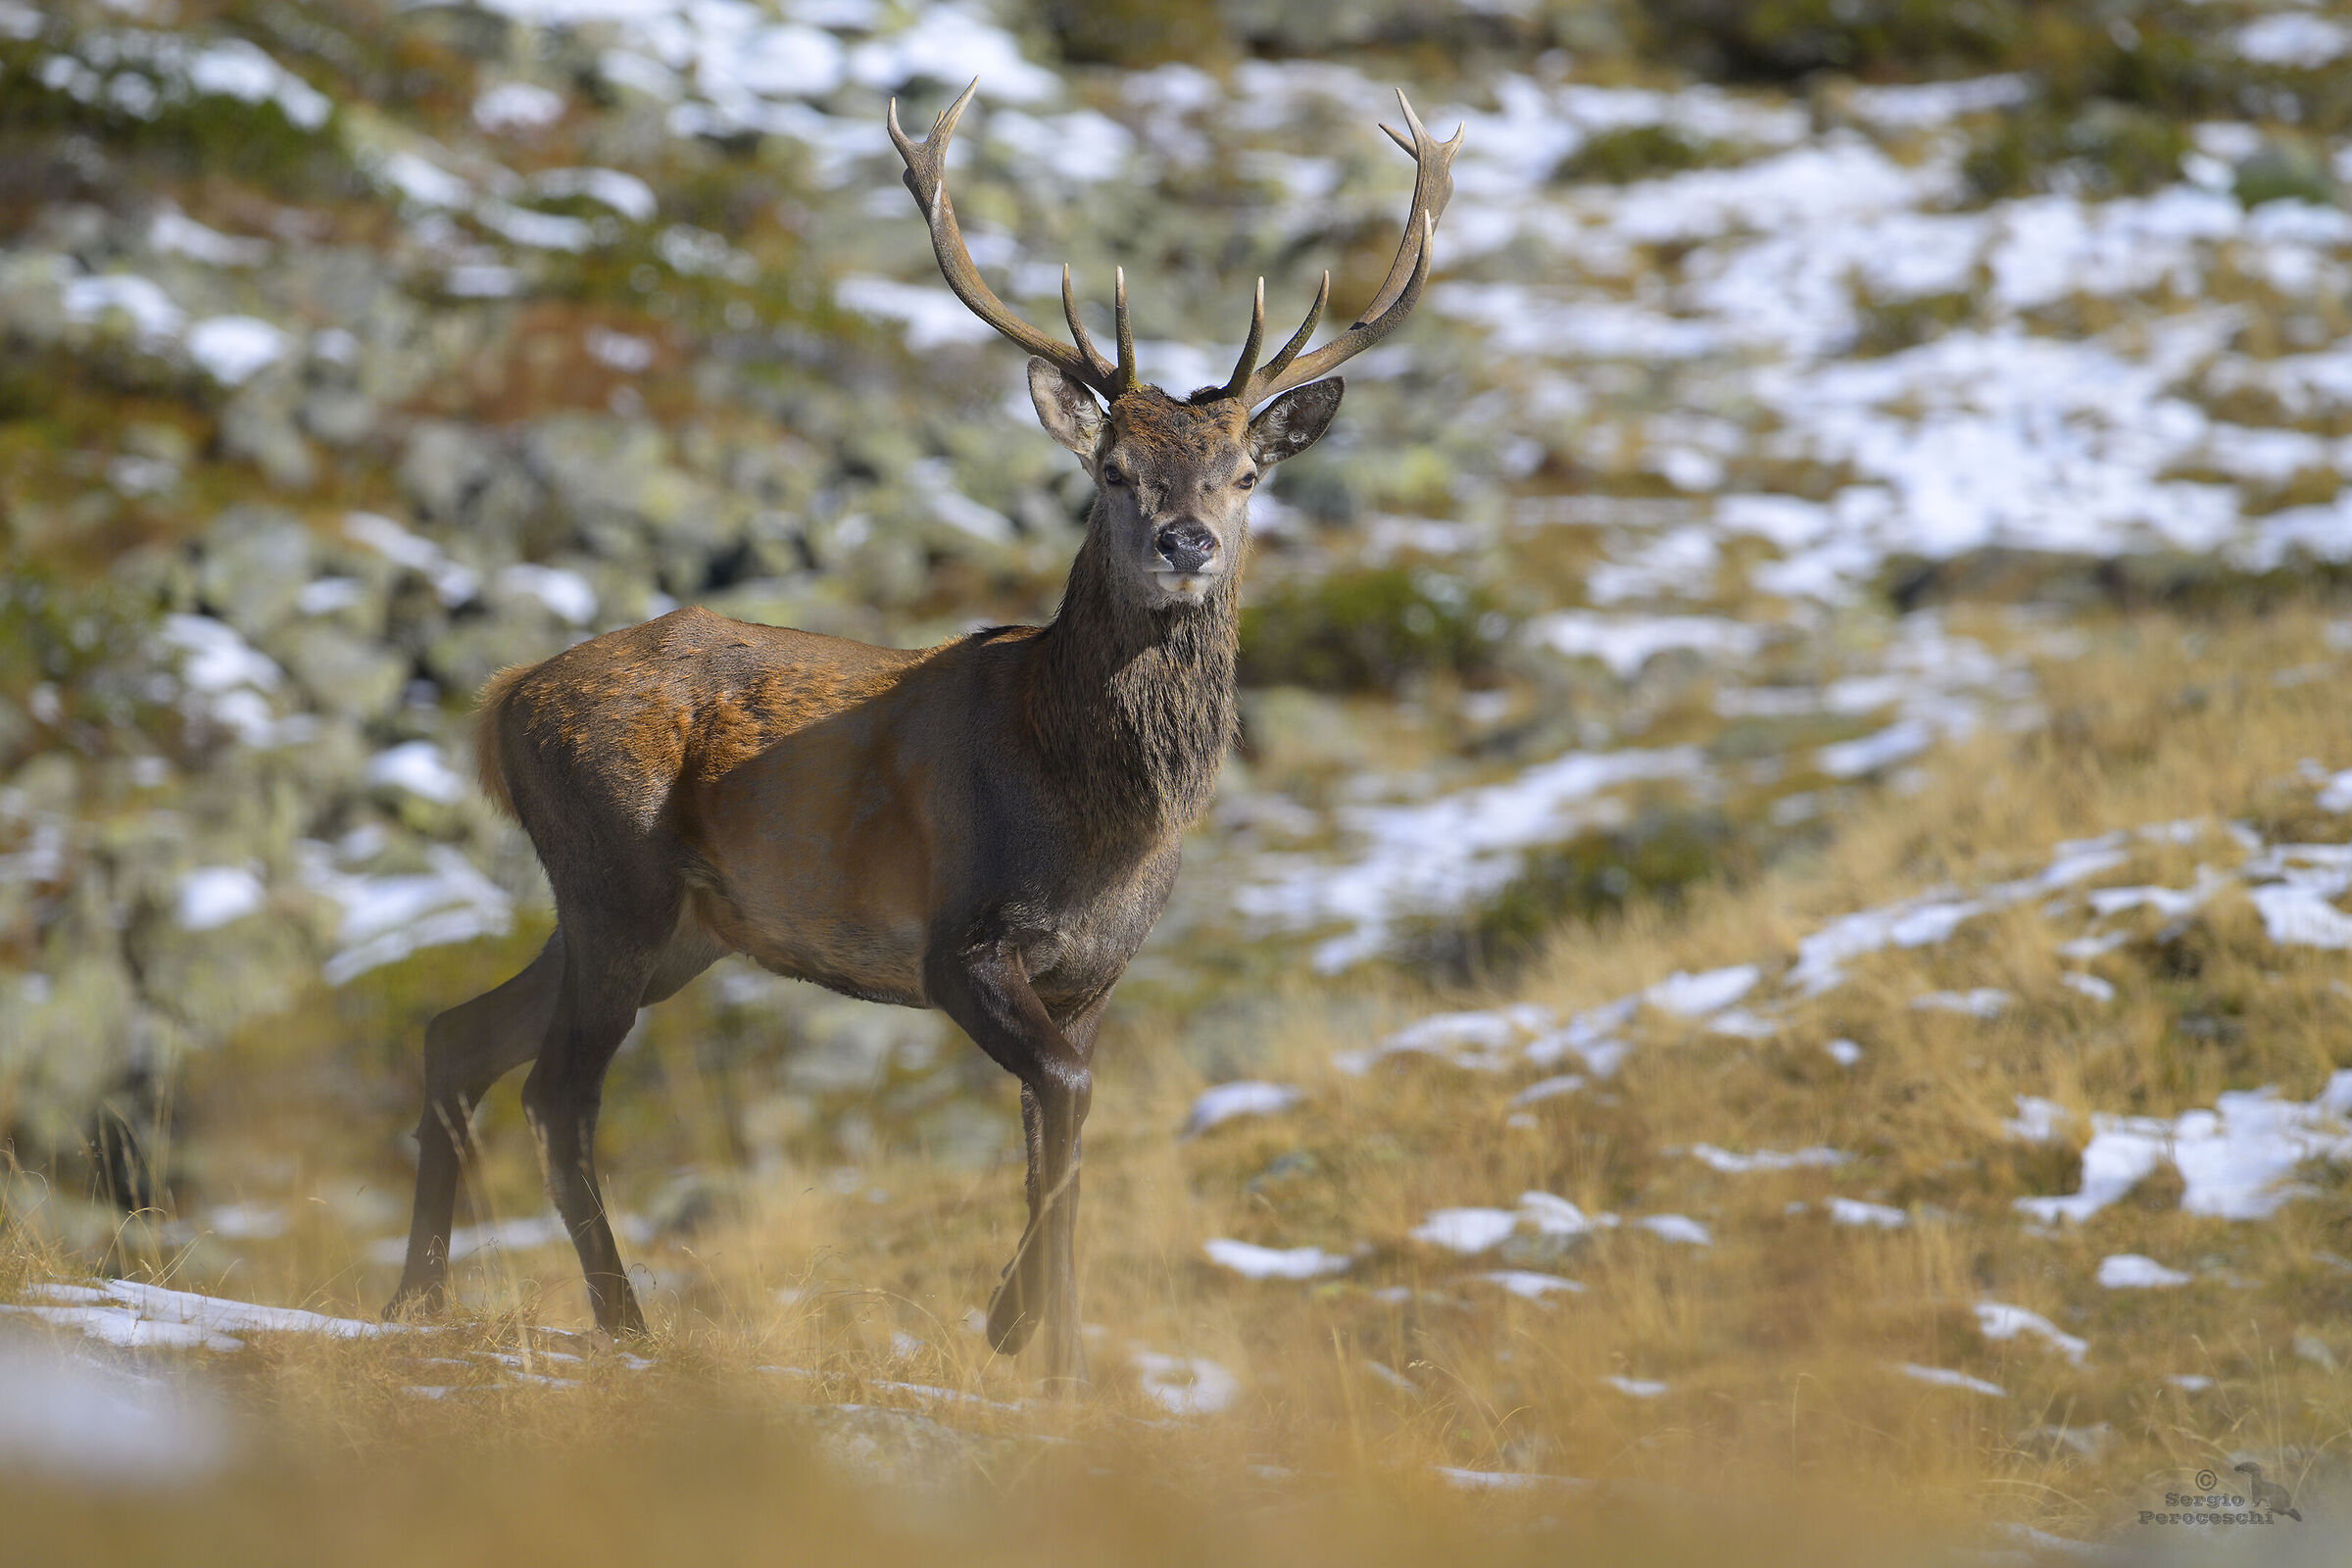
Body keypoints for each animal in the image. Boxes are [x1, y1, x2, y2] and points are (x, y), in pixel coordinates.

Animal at [385, 80, 1459, 1383]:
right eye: (1111, 468)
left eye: (1246, 472)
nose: (1186, 543)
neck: (1094, 810)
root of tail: (503, 701)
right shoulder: (959, 939)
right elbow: (1065, 1095)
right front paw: (1041, 1348)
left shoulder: (1095, 969)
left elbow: (1058, 1123)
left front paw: (1029, 1337)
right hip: (613, 870)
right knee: (557, 1092)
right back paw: (623, 1321)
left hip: (672, 921)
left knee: (456, 1035)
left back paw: (415, 1297)